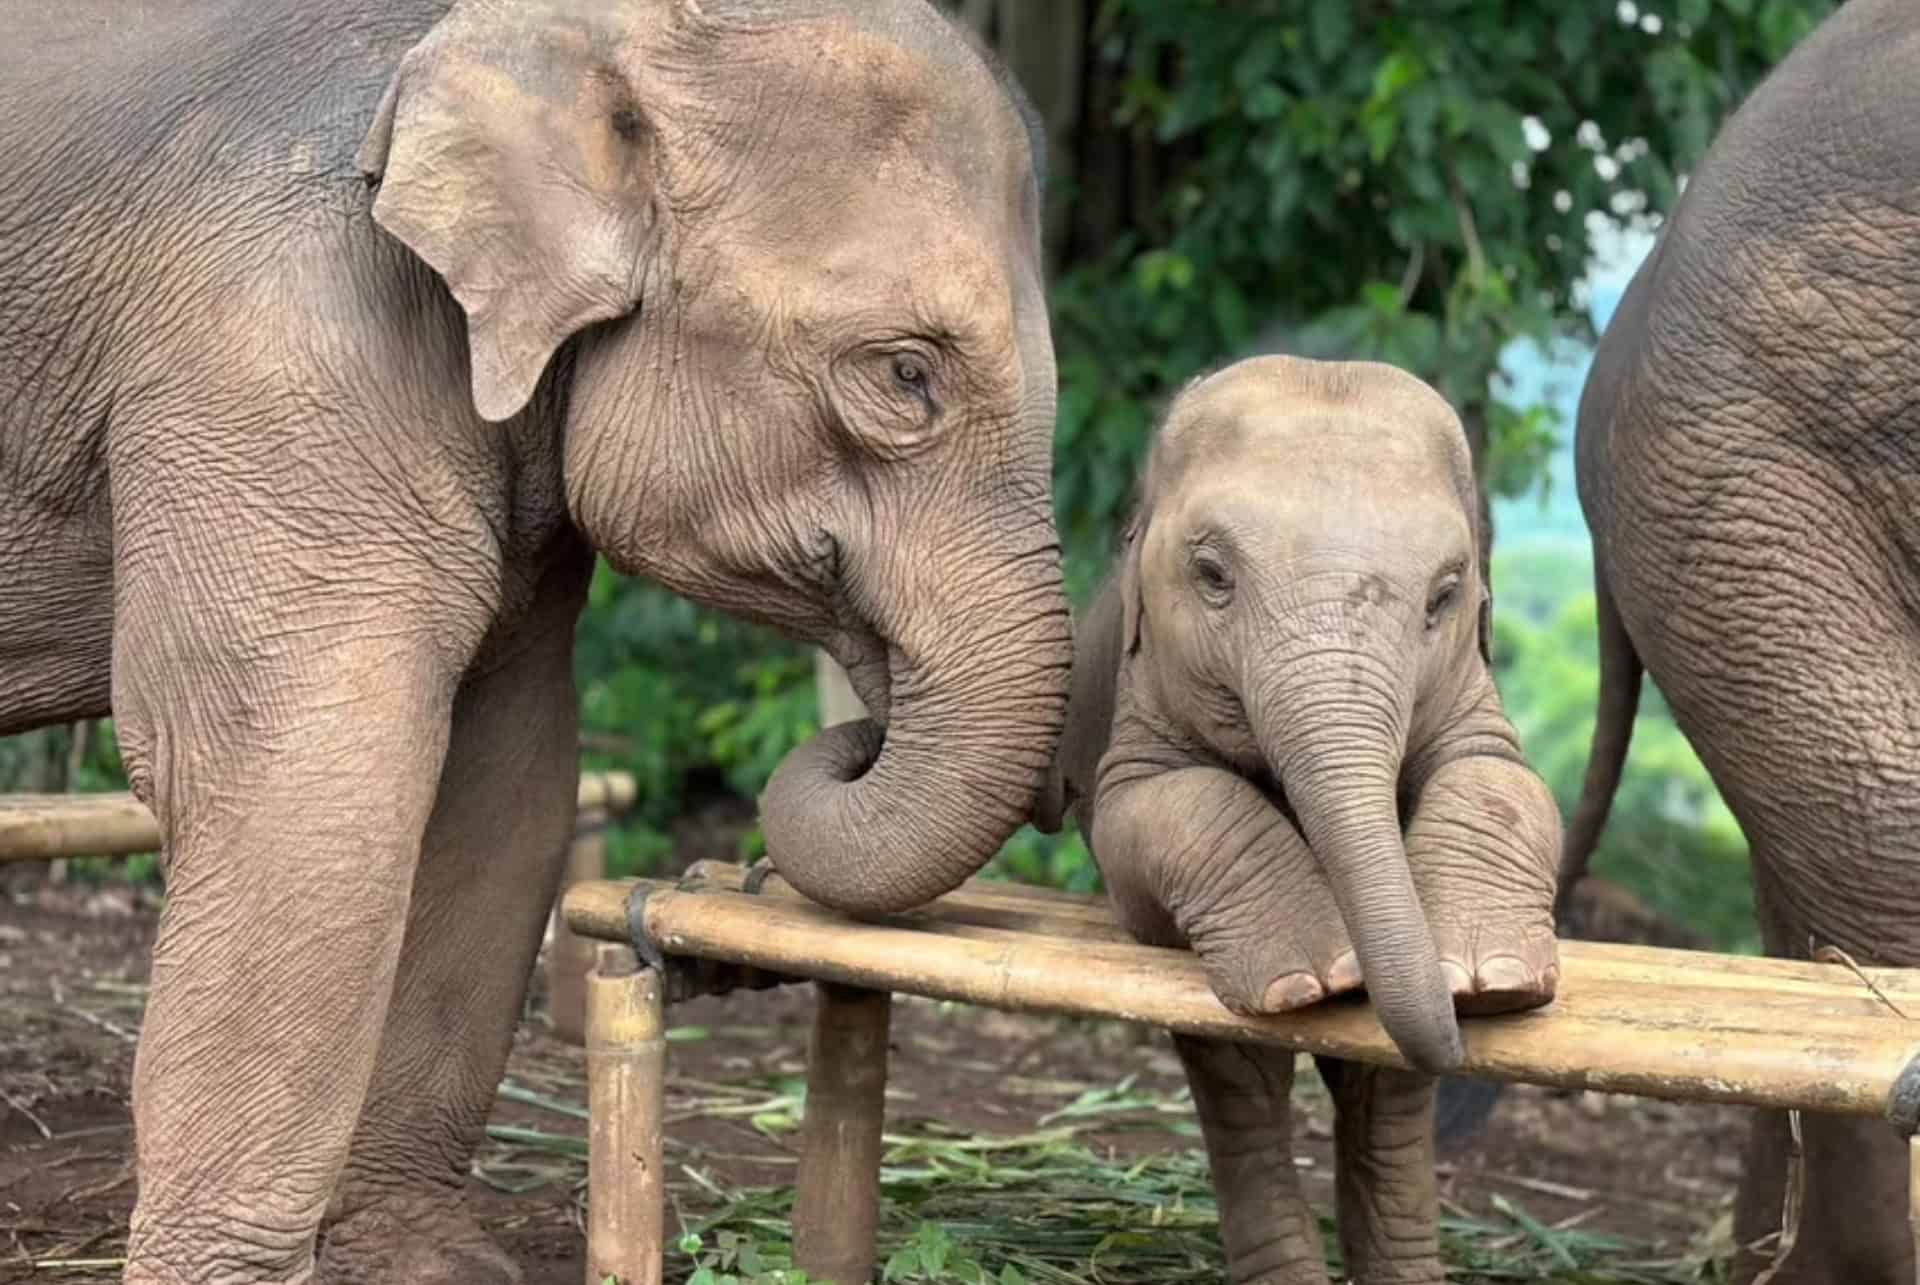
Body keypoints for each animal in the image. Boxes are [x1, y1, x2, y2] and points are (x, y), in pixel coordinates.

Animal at [0, 1, 1070, 1280]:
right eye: (907, 373)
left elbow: (505, 775)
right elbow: (306, 783)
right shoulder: (271, 355)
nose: (859, 732)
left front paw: (425, 1255)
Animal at [1035, 355, 1561, 1283]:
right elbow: (1152, 808)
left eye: (1445, 595)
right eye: (1212, 574)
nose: (1462, 1033)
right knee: (1241, 1078)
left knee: (1385, 1091)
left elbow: (1505, 780)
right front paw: (1318, 977)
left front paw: (1489, 978)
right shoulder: (1139, 697)